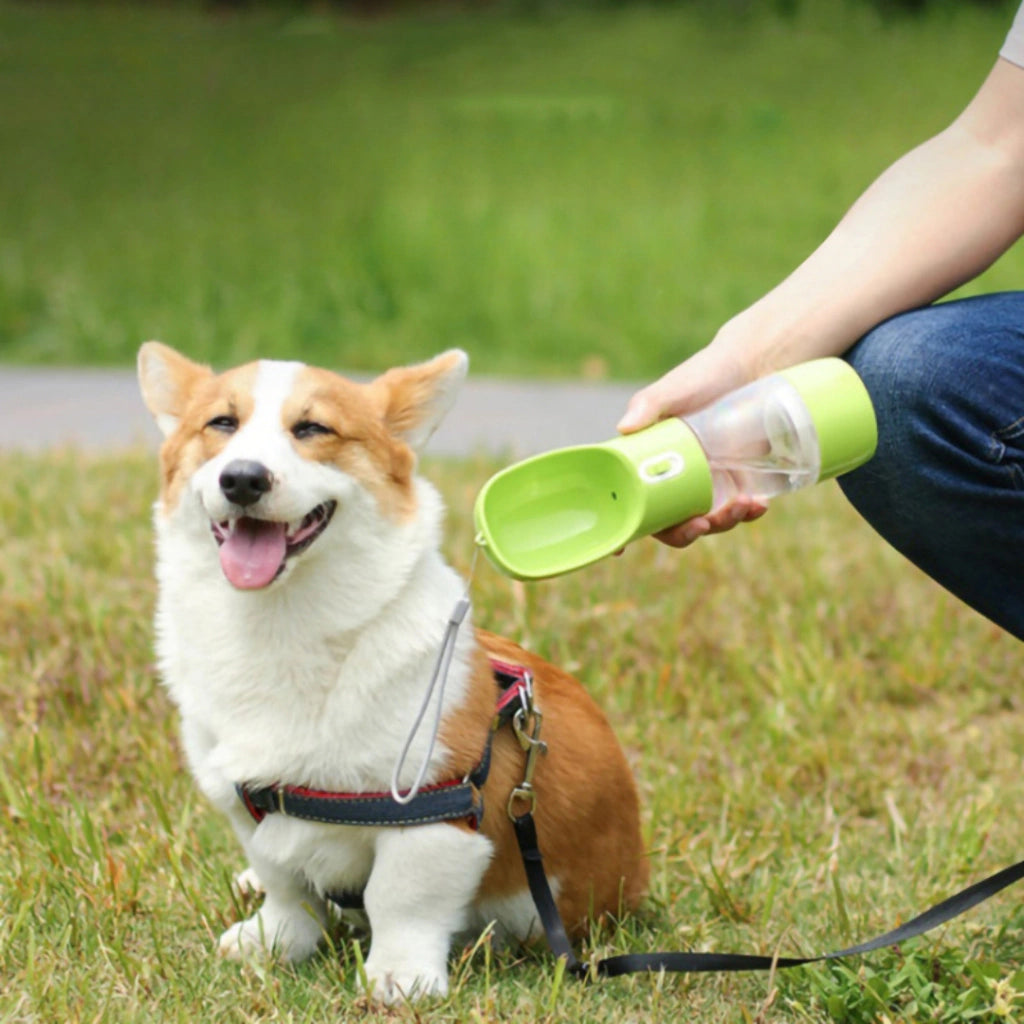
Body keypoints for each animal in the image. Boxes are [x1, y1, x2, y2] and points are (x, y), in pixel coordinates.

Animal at [138, 342, 647, 999]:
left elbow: (400, 898)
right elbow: (285, 884)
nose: (243, 478)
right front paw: (272, 941)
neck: (281, 624)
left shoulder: (432, 811)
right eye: (221, 423)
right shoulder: (247, 806)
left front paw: (399, 979)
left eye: (313, 428)